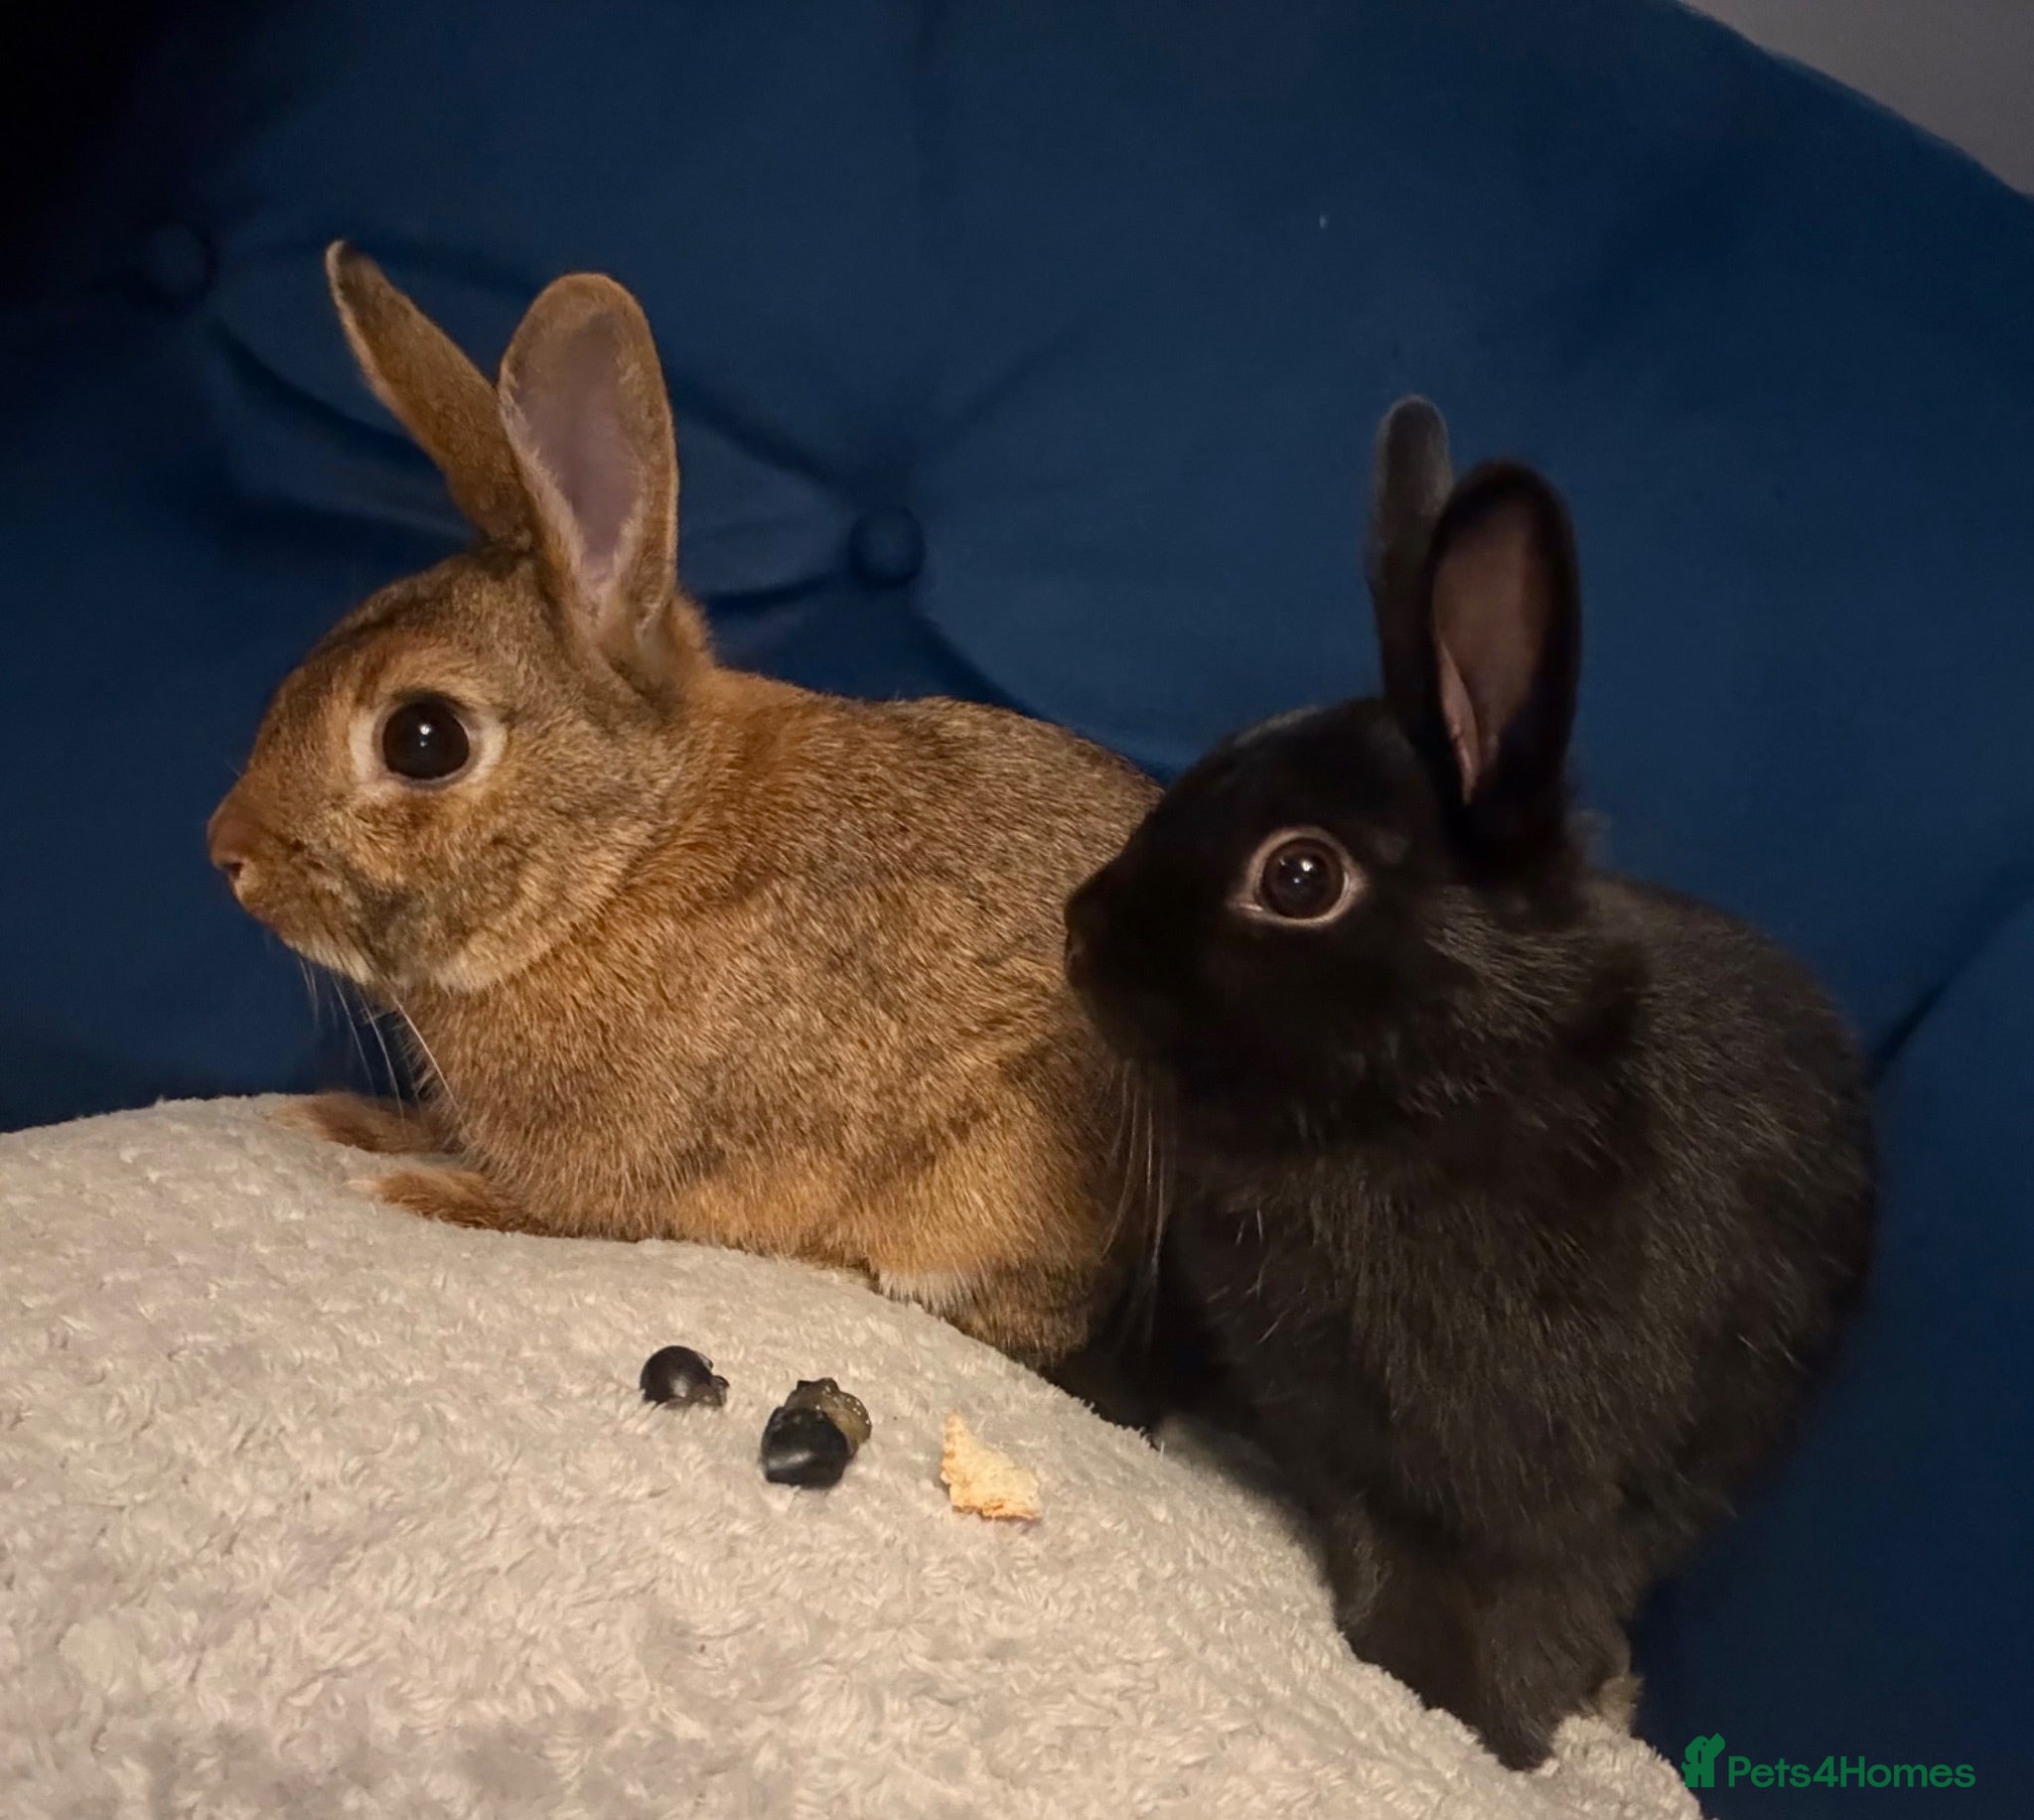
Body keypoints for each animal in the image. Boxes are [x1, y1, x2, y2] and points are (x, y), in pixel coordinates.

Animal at [205, 244, 1160, 1372]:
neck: (622, 862)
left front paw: (402, 1185)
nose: (227, 851)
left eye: (423, 739)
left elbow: (541, 1208)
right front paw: (345, 1121)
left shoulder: (607, 1173)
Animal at [1061, 397, 1876, 1767]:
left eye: (1297, 877)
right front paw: (1086, 1389)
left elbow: (1490, 1600)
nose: (1078, 932)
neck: (1433, 1097)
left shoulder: (1524, 1496)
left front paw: (1459, 1714)